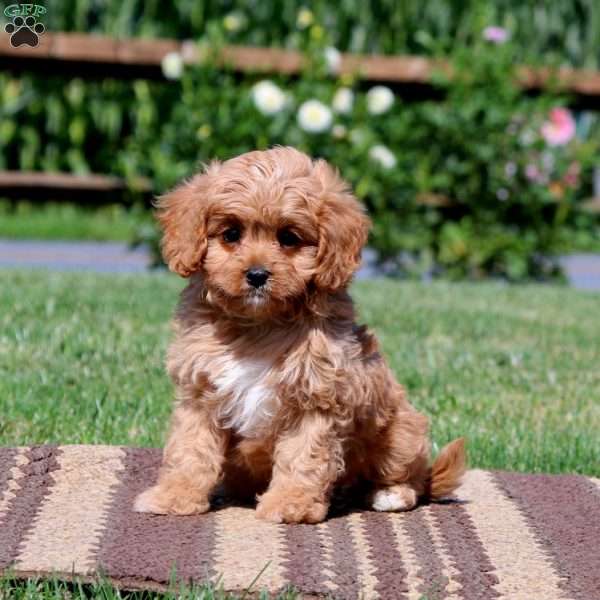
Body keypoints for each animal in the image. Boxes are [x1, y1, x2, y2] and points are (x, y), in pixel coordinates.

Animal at [134, 146, 466, 524]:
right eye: (231, 234)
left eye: (288, 238)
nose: (257, 274)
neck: (258, 325)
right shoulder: (200, 391)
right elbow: (189, 449)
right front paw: (175, 496)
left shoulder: (316, 397)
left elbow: (303, 456)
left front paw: (291, 504)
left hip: (400, 432)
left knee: (412, 478)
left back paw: (390, 494)